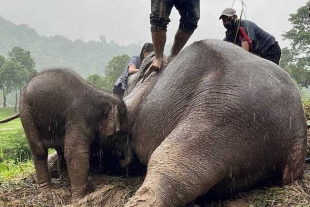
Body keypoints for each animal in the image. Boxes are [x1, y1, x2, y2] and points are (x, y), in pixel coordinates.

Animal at [0, 68, 132, 201]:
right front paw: (78, 198)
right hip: (27, 115)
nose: (121, 161)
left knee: (60, 150)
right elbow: (75, 152)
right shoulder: (79, 117)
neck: (103, 95)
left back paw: (64, 182)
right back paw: (47, 190)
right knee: (39, 151)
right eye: (122, 133)